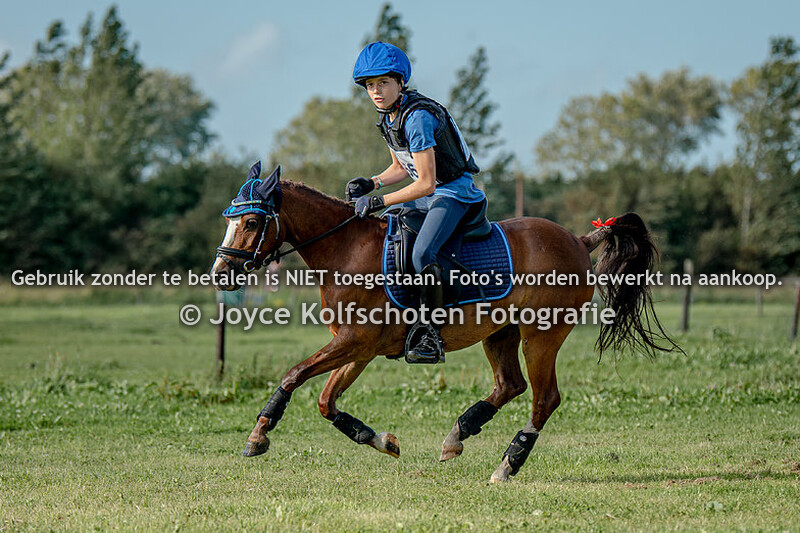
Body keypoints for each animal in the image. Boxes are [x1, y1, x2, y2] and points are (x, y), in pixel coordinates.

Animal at [211, 162, 677, 483]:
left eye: (251, 221)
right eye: (229, 219)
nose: (219, 274)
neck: (345, 250)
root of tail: (579, 240)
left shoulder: (354, 342)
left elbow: (293, 375)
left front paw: (259, 434)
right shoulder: (357, 348)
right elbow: (327, 402)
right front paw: (379, 440)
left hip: (541, 335)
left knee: (544, 399)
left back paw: (507, 465)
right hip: (500, 332)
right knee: (510, 385)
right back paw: (459, 434)